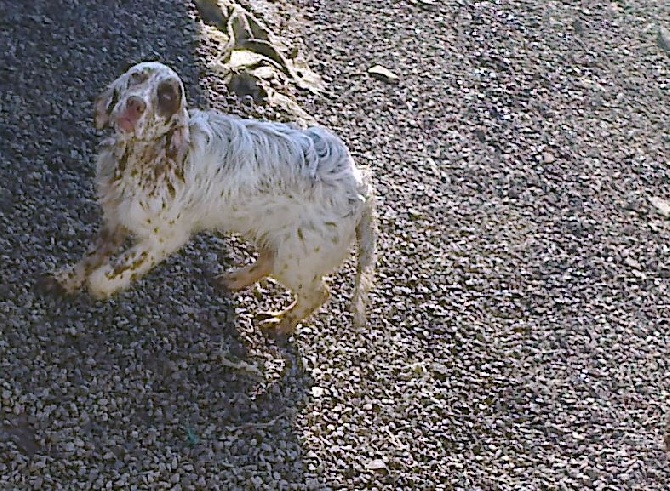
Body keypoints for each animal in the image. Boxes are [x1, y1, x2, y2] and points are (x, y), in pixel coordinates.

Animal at [47, 59, 378, 332]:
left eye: (166, 97)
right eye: (135, 79)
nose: (134, 105)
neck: (146, 157)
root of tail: (361, 184)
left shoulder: (163, 238)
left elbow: (111, 272)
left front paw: (98, 287)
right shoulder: (115, 218)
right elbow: (92, 257)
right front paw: (67, 279)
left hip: (297, 258)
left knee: (318, 292)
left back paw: (280, 324)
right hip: (276, 237)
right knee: (267, 262)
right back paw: (232, 280)